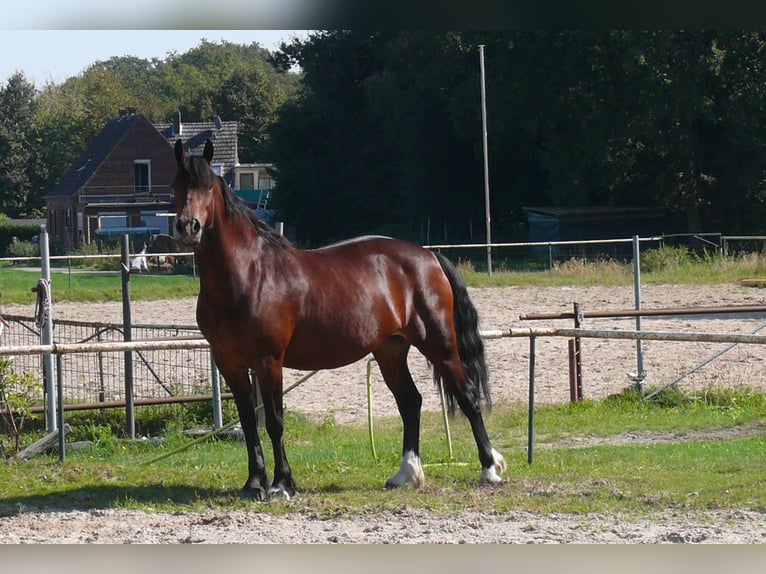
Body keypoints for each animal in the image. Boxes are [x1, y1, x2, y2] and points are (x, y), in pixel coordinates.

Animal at [175, 138, 510, 500]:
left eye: (207, 186)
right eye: (177, 184)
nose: (188, 227)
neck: (249, 273)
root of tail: (428, 256)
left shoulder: (269, 361)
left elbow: (275, 421)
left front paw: (281, 484)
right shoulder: (230, 363)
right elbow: (249, 422)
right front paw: (254, 484)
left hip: (440, 344)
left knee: (467, 396)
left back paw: (490, 470)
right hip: (390, 350)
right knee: (410, 402)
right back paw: (405, 474)